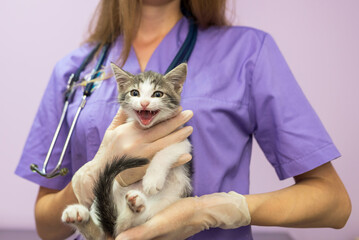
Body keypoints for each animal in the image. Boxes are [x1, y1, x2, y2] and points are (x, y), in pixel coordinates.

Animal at [62, 62, 193, 240]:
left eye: (158, 94)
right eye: (135, 93)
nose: (144, 103)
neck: (147, 128)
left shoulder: (182, 141)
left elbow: (164, 153)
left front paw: (152, 179)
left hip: (163, 204)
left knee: (127, 227)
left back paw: (133, 208)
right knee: (106, 232)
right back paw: (79, 216)